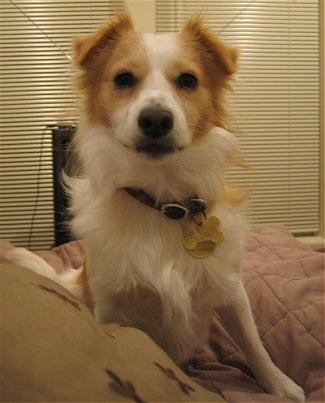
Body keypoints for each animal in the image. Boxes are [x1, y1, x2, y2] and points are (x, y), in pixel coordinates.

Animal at [6, 14, 304, 402]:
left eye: (188, 80)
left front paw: (280, 385)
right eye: (123, 79)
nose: (156, 119)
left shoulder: (229, 287)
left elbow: (253, 342)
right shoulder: (108, 302)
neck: (163, 203)